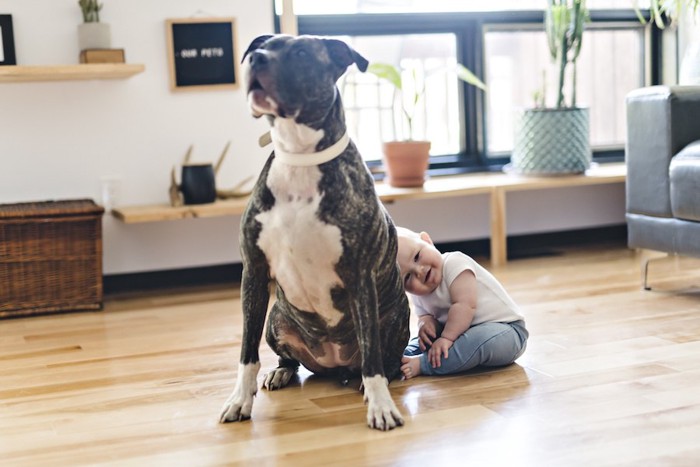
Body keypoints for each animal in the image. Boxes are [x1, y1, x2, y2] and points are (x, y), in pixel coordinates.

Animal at [219, 34, 410, 432]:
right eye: (261, 48)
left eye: (302, 53)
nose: (256, 60)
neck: (299, 156)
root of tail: (334, 364)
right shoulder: (254, 273)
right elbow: (246, 353)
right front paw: (240, 400)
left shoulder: (360, 276)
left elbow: (372, 357)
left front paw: (381, 406)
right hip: (275, 319)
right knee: (288, 359)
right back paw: (281, 372)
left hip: (396, 316)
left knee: (381, 359)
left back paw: (374, 381)